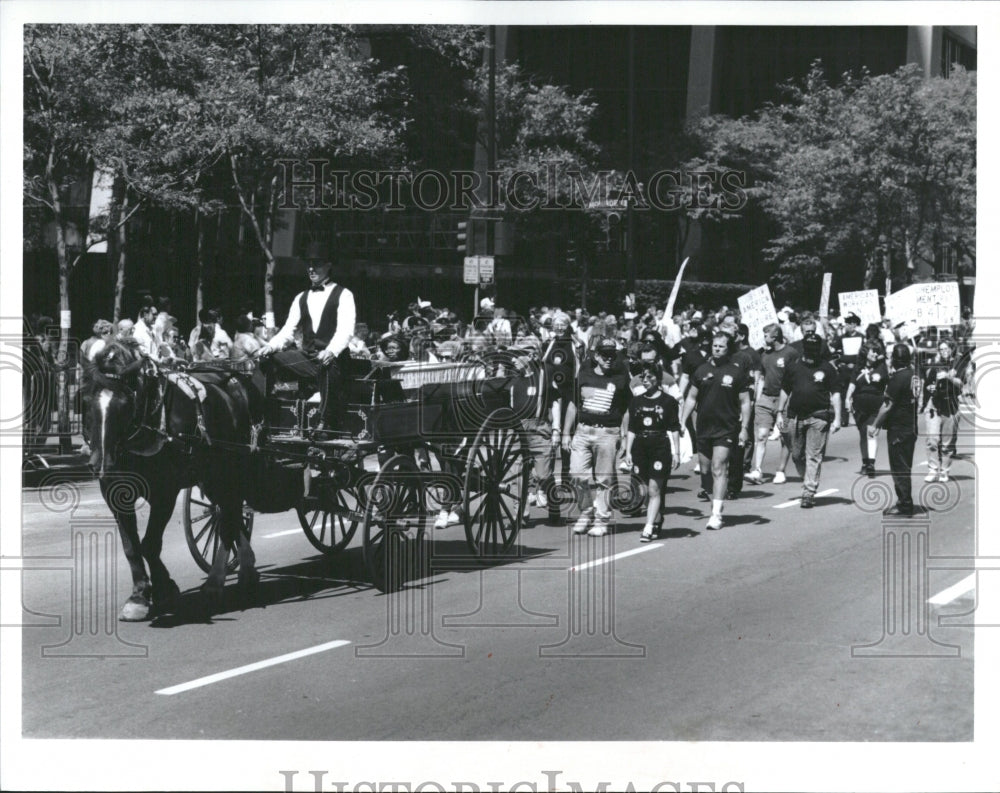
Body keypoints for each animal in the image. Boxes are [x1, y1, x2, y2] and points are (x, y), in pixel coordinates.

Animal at [81, 340, 258, 620]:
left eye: (125, 403)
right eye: (86, 401)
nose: (100, 463)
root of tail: (236, 380)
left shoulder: (165, 492)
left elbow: (150, 544)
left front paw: (163, 589)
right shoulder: (114, 492)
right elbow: (132, 547)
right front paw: (140, 595)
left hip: (228, 471)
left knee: (228, 519)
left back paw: (216, 581)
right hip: (211, 476)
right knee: (228, 514)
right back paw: (245, 569)